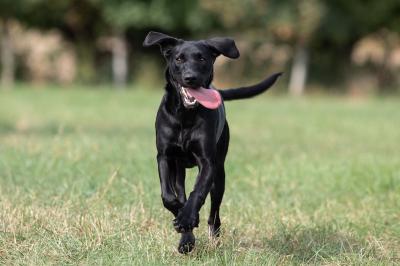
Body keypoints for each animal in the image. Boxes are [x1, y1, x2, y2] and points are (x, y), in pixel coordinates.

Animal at [144, 31, 282, 254]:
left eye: (202, 59)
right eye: (178, 59)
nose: (191, 78)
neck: (185, 116)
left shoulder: (208, 162)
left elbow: (198, 192)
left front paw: (187, 218)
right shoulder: (164, 156)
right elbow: (169, 196)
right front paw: (184, 222)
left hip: (220, 174)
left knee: (214, 211)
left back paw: (208, 231)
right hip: (179, 169)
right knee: (181, 191)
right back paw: (187, 239)